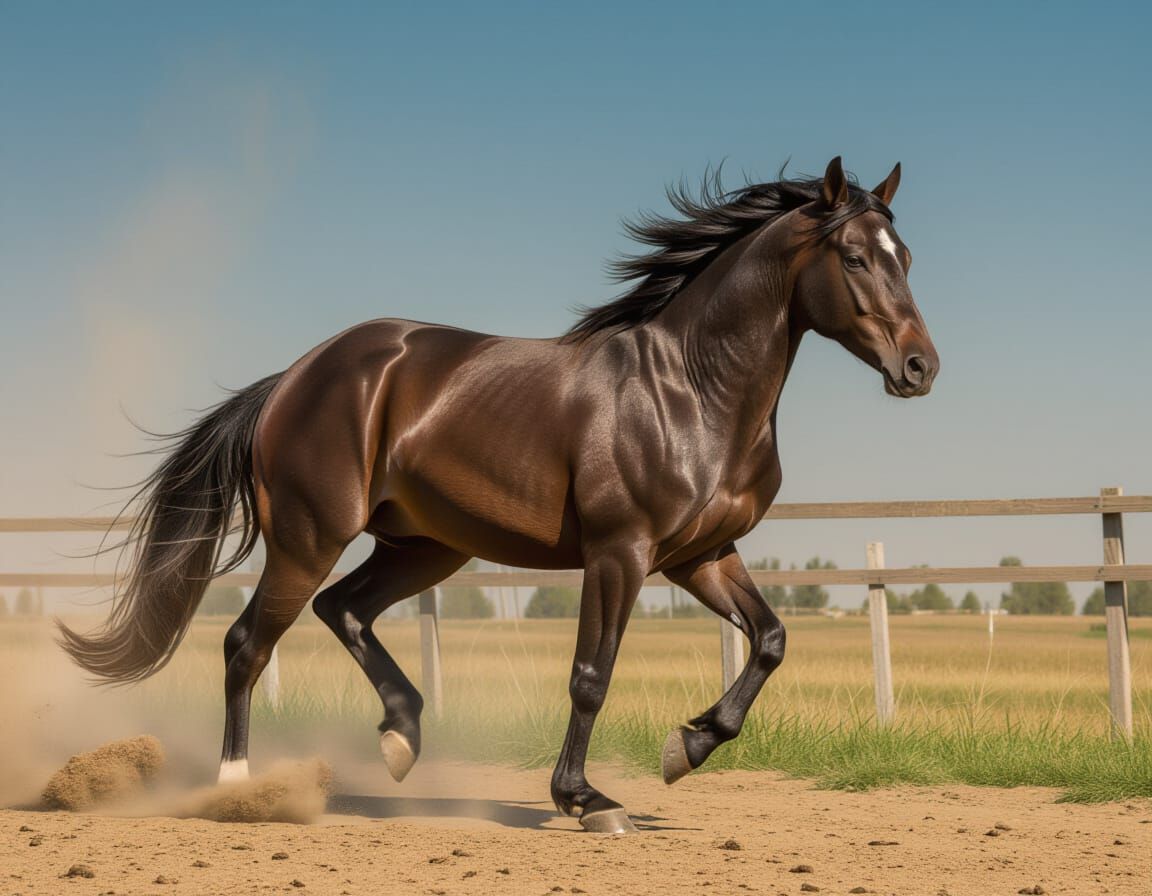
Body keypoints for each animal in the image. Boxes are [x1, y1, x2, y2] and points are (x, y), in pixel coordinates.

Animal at [59, 156, 938, 833]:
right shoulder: (621, 553)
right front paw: (586, 801)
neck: (691, 390)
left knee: (343, 610)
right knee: (248, 643)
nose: (921, 368)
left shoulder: (702, 556)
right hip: (311, 539)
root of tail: (295, 378)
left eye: (905, 256)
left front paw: (684, 750)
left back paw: (401, 738)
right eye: (855, 257)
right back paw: (240, 790)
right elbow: (591, 675)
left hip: (426, 547)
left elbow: (771, 640)